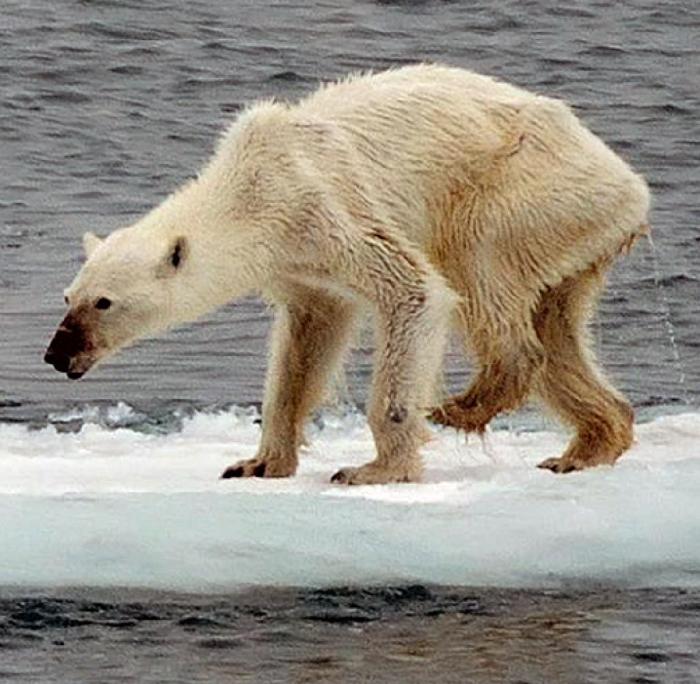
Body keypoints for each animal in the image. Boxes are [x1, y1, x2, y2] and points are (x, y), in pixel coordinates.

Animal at [45, 62, 652, 480]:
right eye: (68, 297)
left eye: (104, 302)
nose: (56, 354)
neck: (251, 188)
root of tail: (631, 186)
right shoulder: (296, 263)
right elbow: (306, 340)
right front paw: (257, 462)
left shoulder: (324, 207)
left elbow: (414, 291)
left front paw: (374, 469)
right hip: (573, 235)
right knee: (556, 328)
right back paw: (586, 445)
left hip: (524, 191)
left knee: (480, 268)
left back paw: (465, 404)